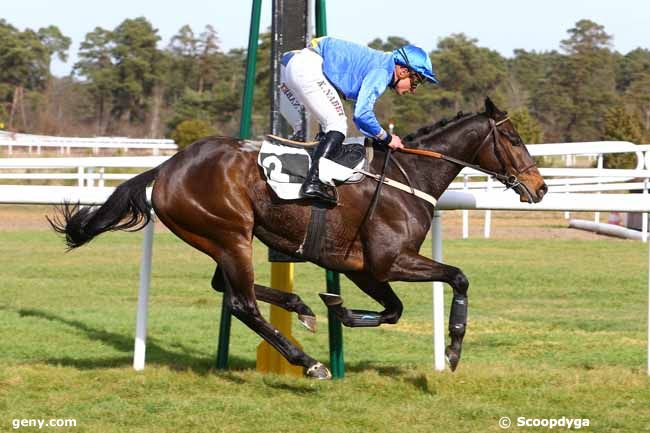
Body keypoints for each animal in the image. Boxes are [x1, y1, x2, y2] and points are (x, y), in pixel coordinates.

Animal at [50, 97, 544, 378]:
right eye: (513, 138)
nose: (539, 187)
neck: (408, 175)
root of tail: (166, 167)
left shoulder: (363, 268)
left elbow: (394, 310)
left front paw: (335, 306)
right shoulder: (388, 260)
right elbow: (457, 277)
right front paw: (454, 349)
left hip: (222, 237)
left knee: (226, 287)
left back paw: (301, 307)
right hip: (230, 234)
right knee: (242, 303)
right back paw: (309, 362)